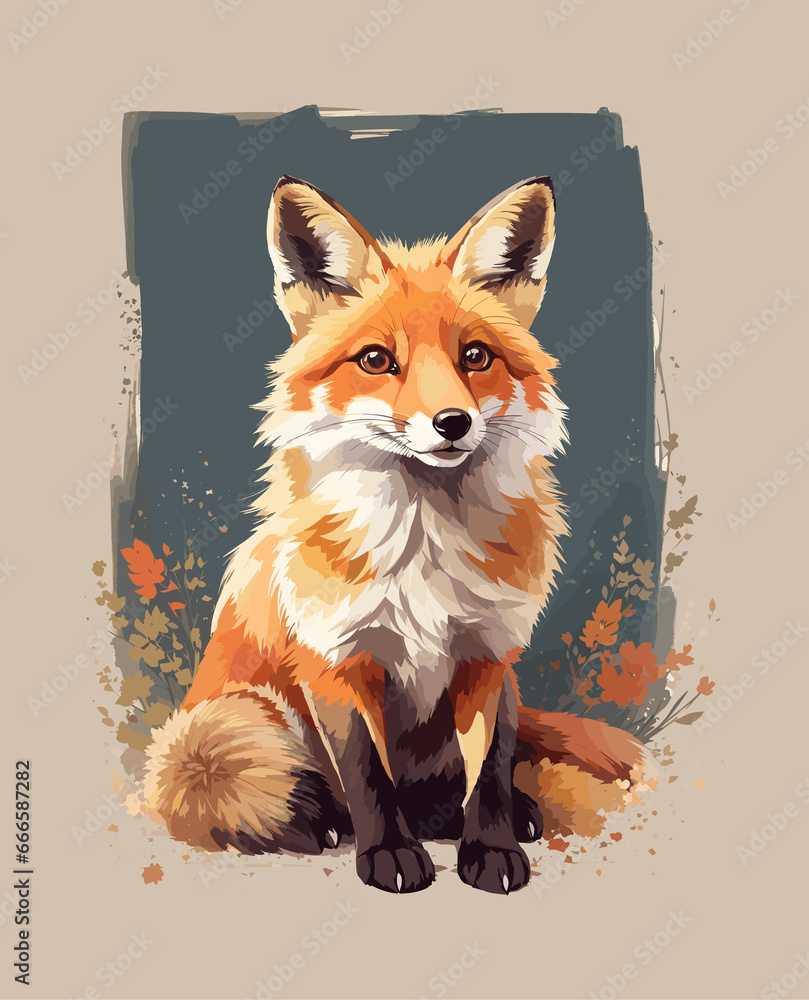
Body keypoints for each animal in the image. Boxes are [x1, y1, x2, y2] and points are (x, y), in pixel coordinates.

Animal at [144, 174, 645, 894]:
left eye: (475, 356)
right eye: (377, 360)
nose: (453, 423)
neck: (424, 549)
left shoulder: (488, 656)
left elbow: (490, 773)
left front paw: (490, 850)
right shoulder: (336, 658)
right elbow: (366, 773)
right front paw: (387, 854)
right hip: (220, 729)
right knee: (234, 784)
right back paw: (317, 820)